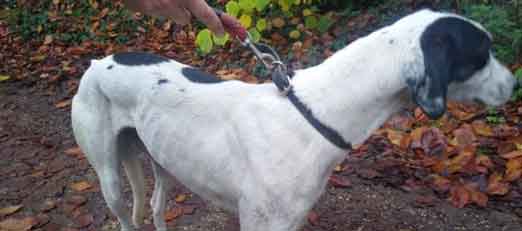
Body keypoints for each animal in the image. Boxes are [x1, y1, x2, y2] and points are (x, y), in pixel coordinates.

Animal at [71, 9, 512, 231]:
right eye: (483, 53)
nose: (514, 82)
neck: (314, 113)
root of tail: (97, 61)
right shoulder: (261, 224)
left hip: (162, 161)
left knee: (158, 207)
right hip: (109, 178)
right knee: (125, 215)